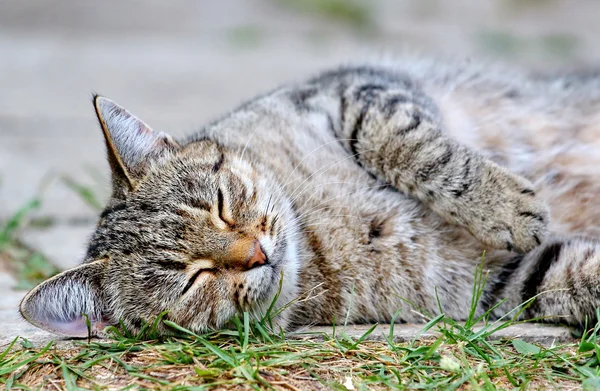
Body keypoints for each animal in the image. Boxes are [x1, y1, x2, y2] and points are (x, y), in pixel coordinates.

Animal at [17, 56, 600, 338]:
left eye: (222, 205)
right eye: (194, 279)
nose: (257, 253)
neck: (318, 236)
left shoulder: (357, 90)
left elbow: (412, 147)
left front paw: (505, 206)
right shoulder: (493, 282)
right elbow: (574, 274)